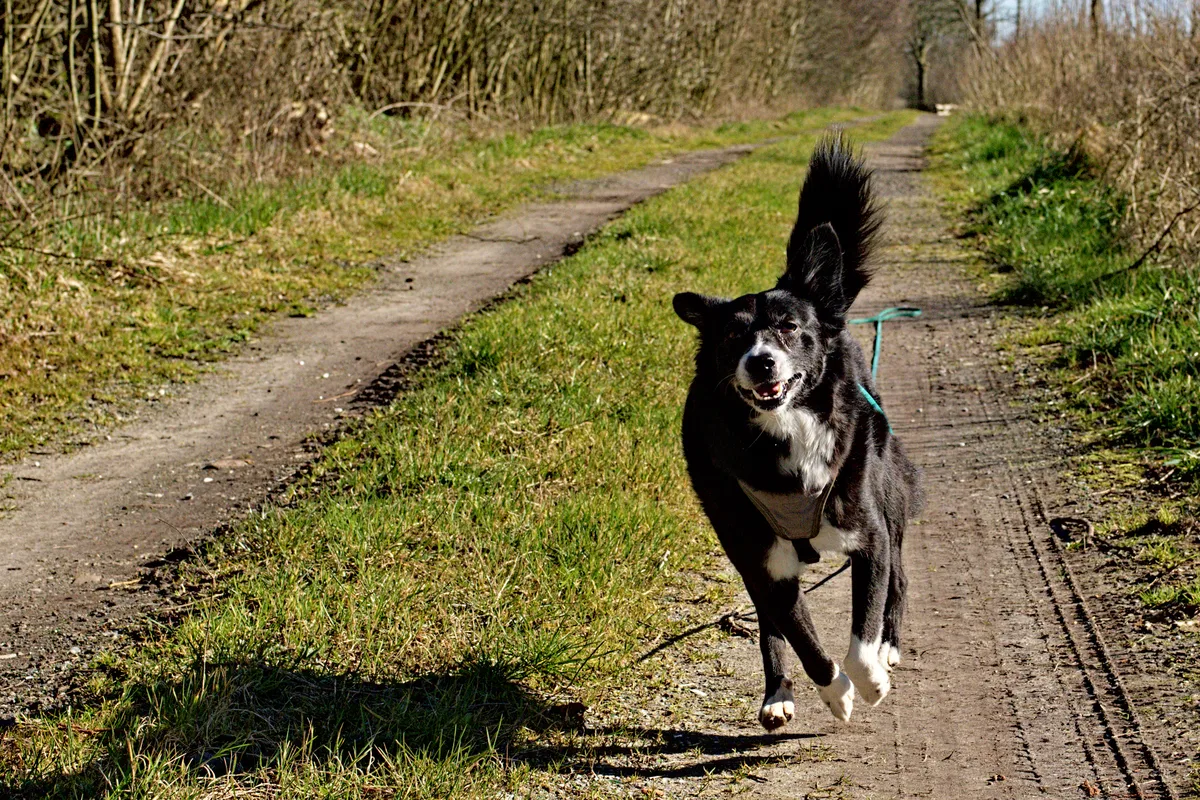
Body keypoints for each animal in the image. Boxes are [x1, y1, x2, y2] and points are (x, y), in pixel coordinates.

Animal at [676, 134, 916, 729]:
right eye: (732, 337)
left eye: (789, 327)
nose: (760, 362)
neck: (788, 431)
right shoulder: (763, 561)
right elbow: (805, 640)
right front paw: (836, 693)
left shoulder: (869, 535)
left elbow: (860, 636)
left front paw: (870, 680)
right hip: (744, 545)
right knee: (768, 622)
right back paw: (776, 693)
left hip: (890, 490)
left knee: (899, 578)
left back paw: (889, 646)